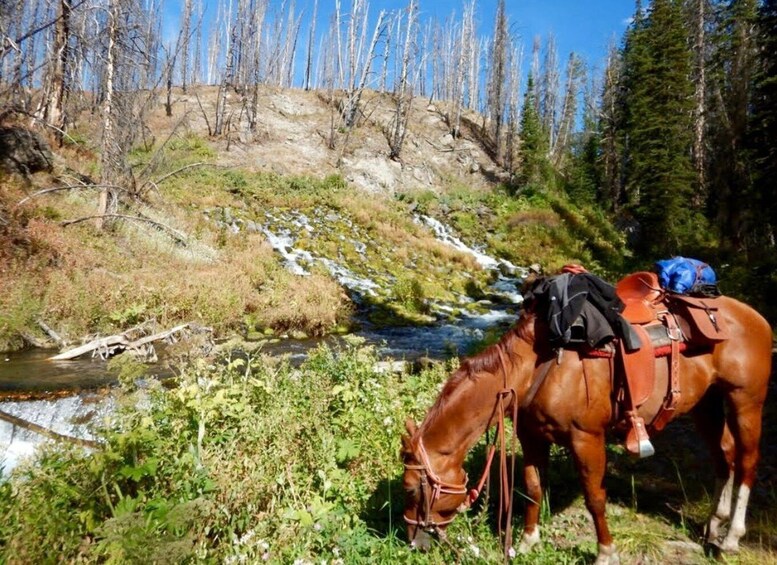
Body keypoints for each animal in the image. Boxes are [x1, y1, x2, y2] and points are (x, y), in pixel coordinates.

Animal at [400, 294, 768, 560]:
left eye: (410, 489)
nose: (414, 542)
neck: (539, 366)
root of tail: (754, 316)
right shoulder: (532, 437)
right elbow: (533, 487)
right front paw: (528, 541)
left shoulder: (586, 439)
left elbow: (594, 498)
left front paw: (606, 552)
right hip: (706, 405)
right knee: (725, 457)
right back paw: (713, 526)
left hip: (746, 401)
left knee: (747, 462)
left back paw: (731, 539)